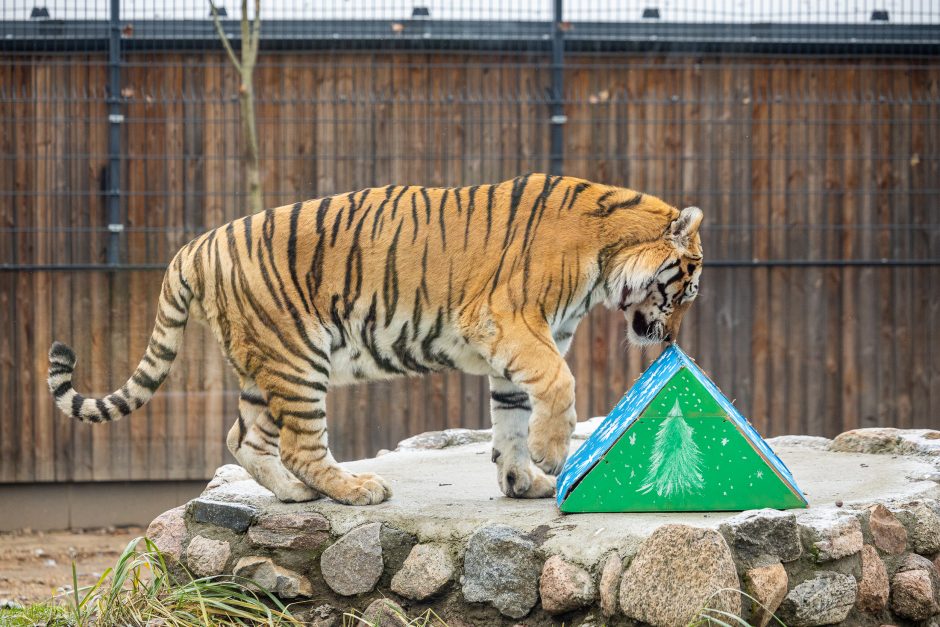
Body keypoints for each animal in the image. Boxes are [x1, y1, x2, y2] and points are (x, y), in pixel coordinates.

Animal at [47, 173, 700, 506]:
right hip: (297, 358)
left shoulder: (510, 350)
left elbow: (510, 418)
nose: (670, 342)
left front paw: (524, 480)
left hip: (263, 368)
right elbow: (559, 385)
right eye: (686, 289)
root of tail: (195, 245)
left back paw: (295, 494)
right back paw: (356, 489)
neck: (605, 261)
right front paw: (550, 455)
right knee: (299, 444)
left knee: (242, 437)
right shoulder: (510, 324)